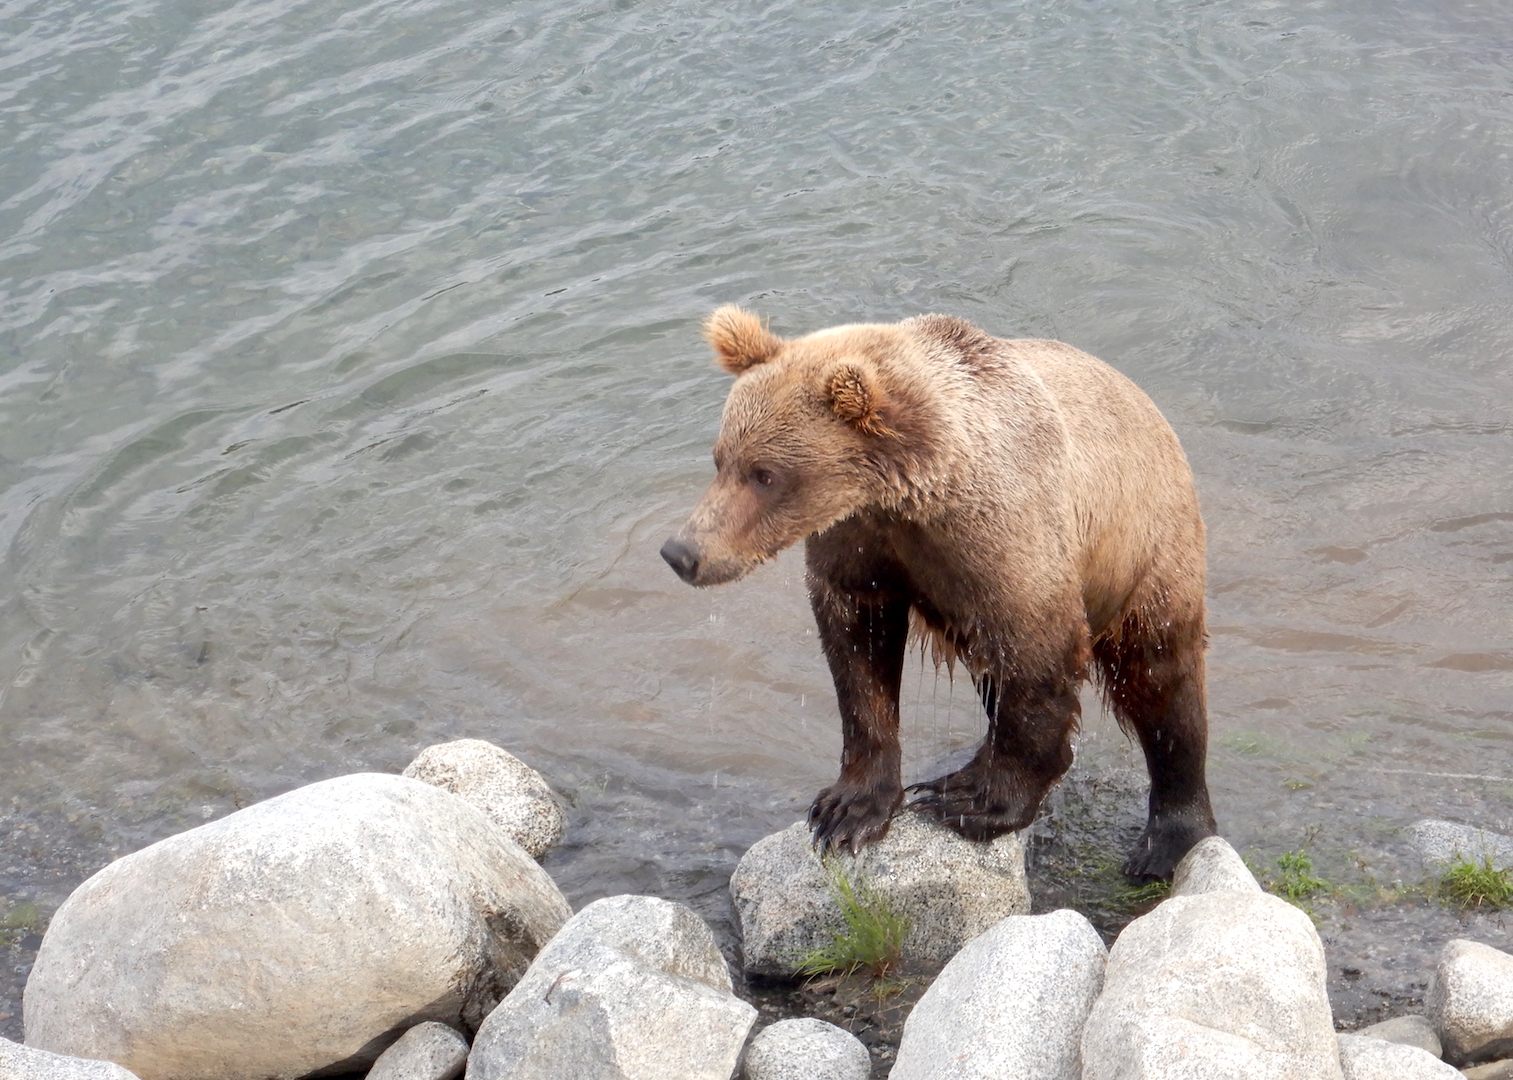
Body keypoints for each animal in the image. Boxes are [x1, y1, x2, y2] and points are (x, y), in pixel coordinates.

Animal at [660, 306, 1218, 880]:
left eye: (765, 474)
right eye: (720, 458)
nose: (682, 552)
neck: (915, 493)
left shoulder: (1008, 537)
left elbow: (1038, 654)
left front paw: (978, 801)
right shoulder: (863, 544)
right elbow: (858, 655)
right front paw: (847, 809)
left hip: (1146, 547)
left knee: (1161, 678)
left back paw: (1167, 838)